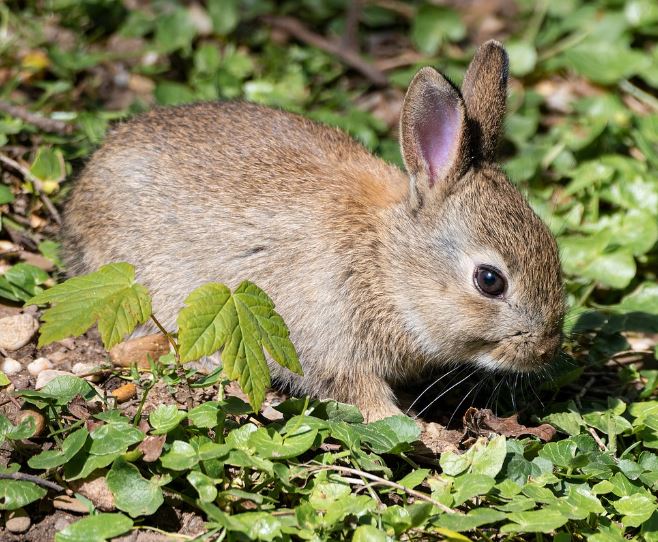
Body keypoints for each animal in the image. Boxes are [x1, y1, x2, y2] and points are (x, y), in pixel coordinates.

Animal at [62, 40, 565, 423]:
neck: (387, 266)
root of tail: (87, 182)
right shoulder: (330, 344)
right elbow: (359, 393)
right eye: (489, 280)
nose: (545, 350)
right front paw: (412, 429)